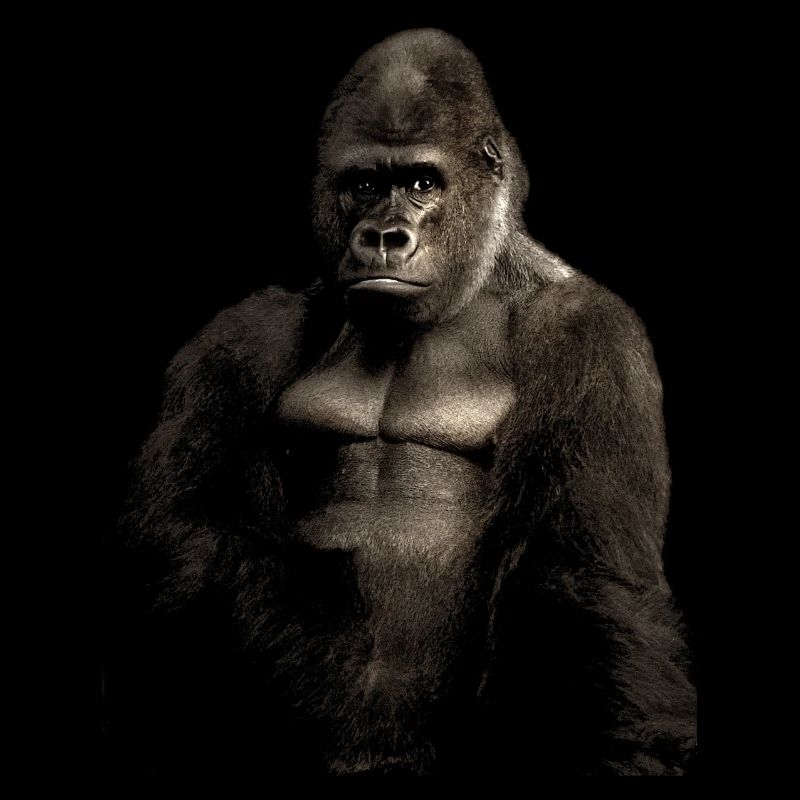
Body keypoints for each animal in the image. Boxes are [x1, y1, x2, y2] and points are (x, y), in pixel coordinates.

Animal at [116, 28, 696, 778]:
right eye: (364, 185)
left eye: (422, 183)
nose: (384, 236)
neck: (478, 276)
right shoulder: (243, 337)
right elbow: (187, 533)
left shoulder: (593, 334)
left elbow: (588, 576)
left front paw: (631, 750)